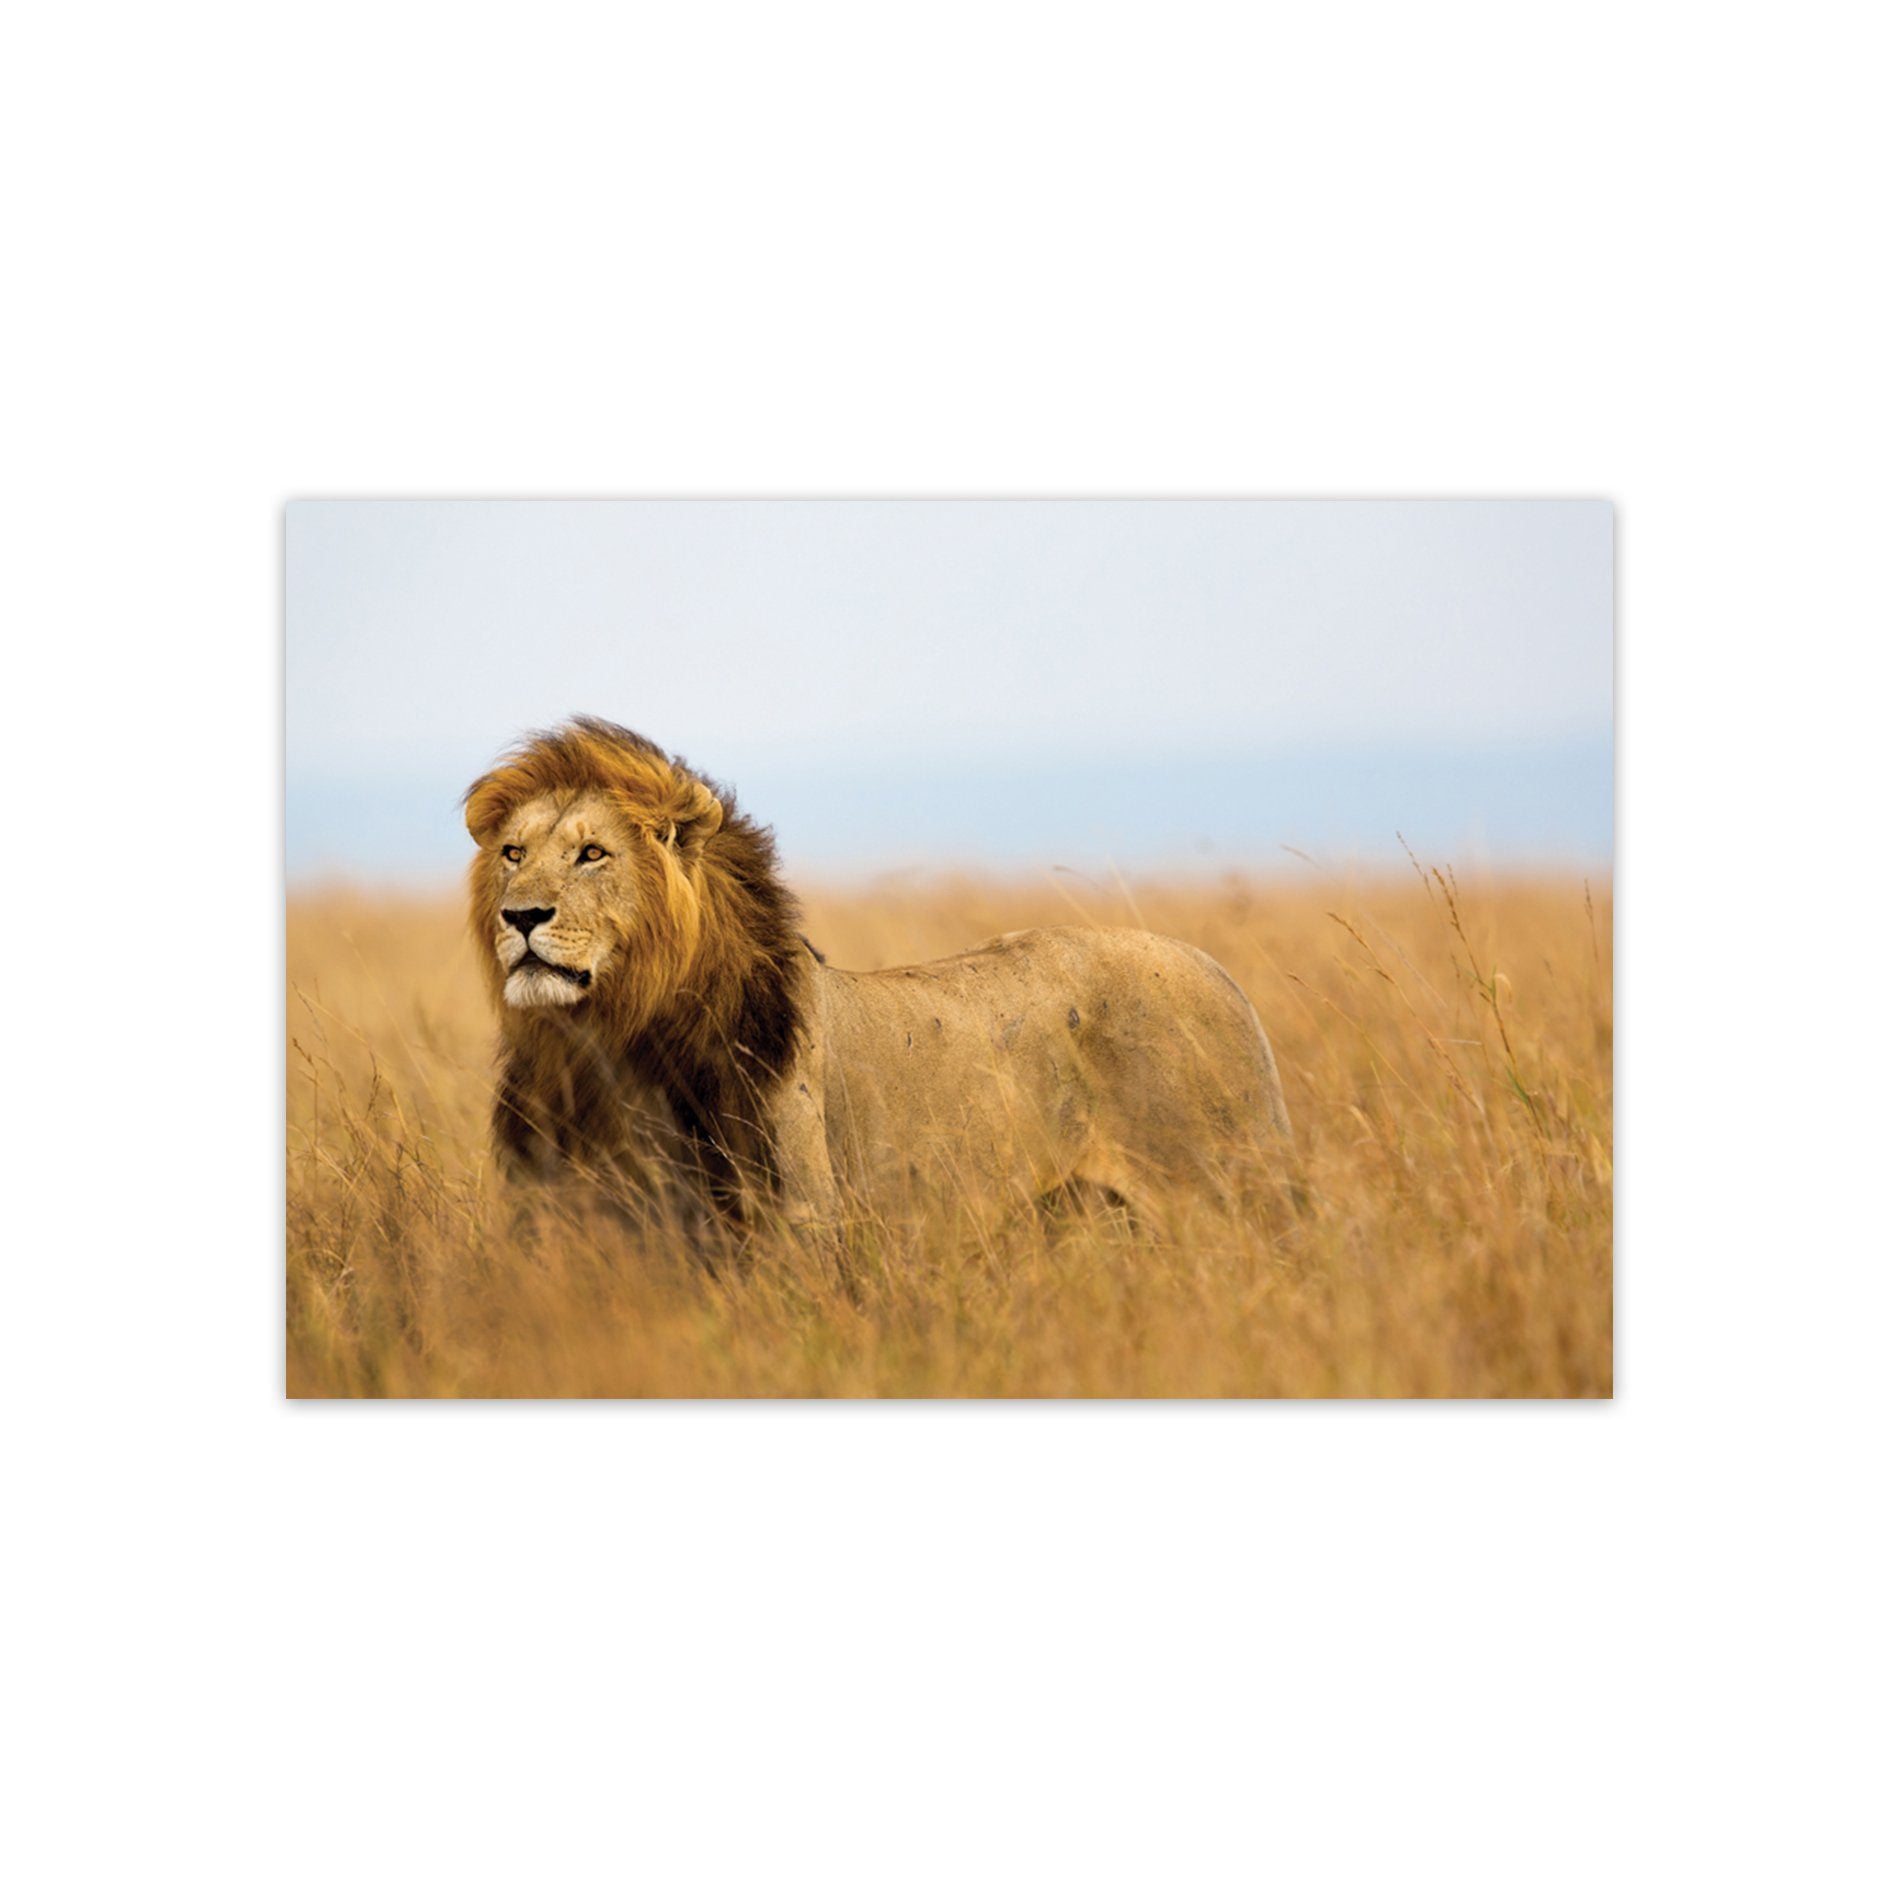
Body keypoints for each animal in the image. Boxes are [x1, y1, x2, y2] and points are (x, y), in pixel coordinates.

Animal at [464, 718, 1296, 1238]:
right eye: (513, 853)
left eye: (592, 853)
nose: (521, 916)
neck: (606, 1043)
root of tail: (1218, 971)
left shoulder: (795, 1223)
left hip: (1226, 1199)